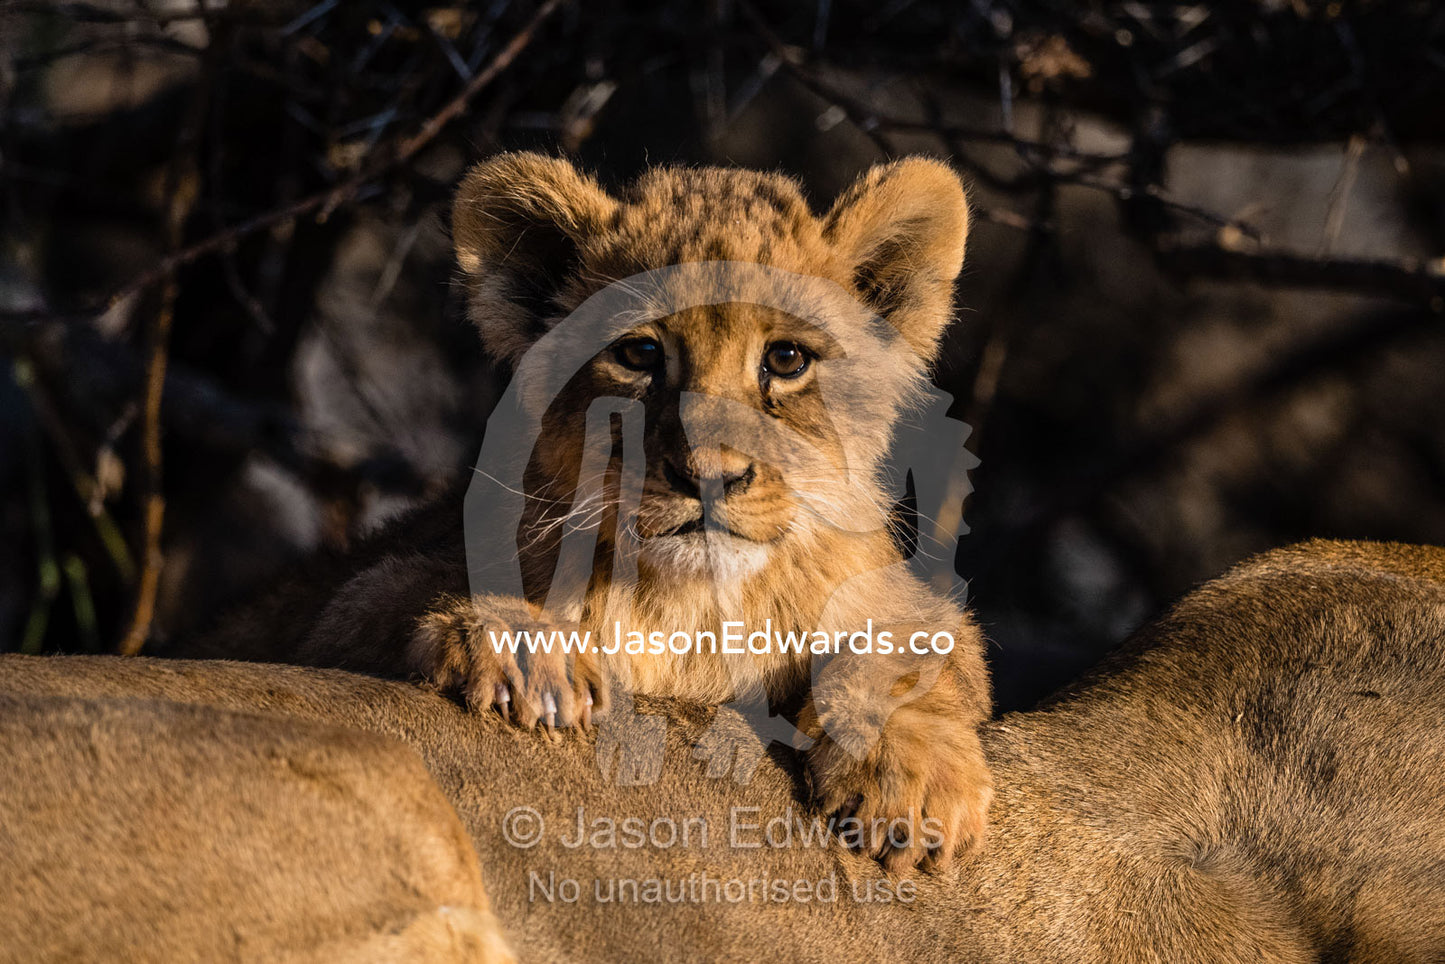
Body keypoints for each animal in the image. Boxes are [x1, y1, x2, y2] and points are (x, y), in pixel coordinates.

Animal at [179, 153, 992, 872]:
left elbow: (911, 650)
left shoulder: (907, 602)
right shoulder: (341, 609)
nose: (708, 477)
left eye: (786, 360)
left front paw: (913, 788)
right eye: (639, 354)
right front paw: (527, 650)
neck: (692, 606)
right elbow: (395, 600)